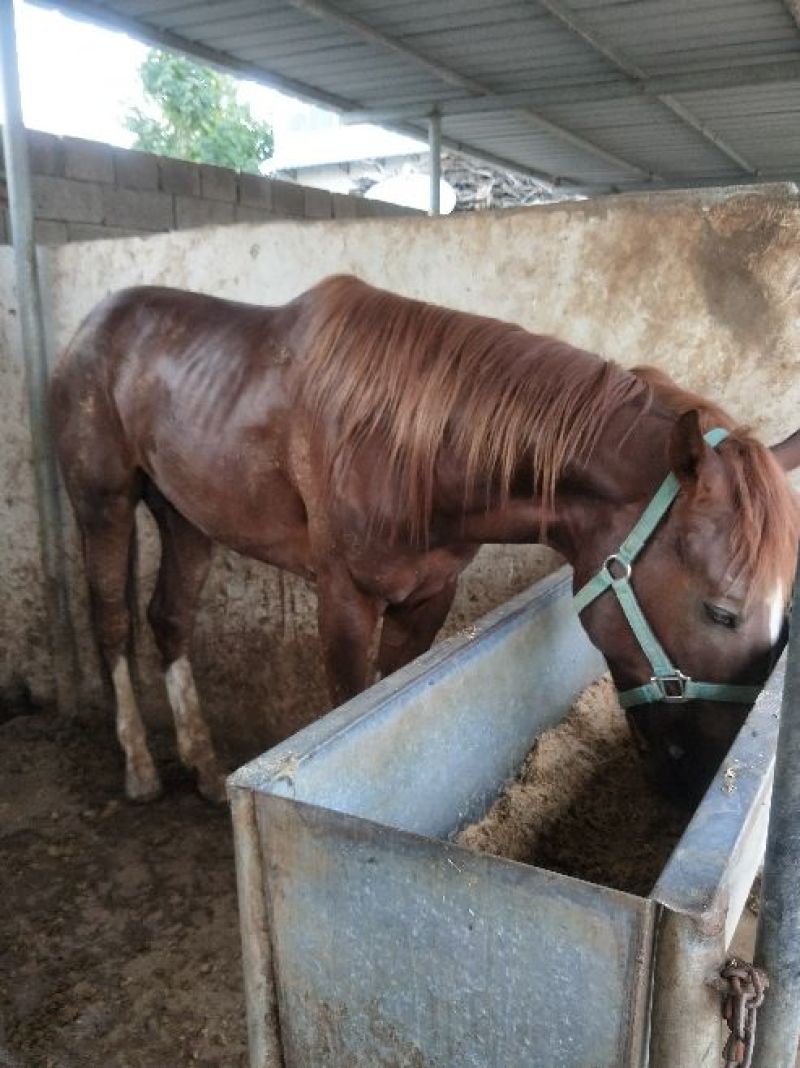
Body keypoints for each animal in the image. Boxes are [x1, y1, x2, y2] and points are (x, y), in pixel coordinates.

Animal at [51, 275, 800, 806]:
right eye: (722, 612)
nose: (704, 779)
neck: (405, 442)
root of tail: (93, 322)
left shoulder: (428, 595)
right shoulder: (345, 601)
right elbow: (351, 705)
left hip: (186, 517)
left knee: (169, 620)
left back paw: (204, 767)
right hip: (103, 503)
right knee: (111, 620)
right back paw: (140, 768)